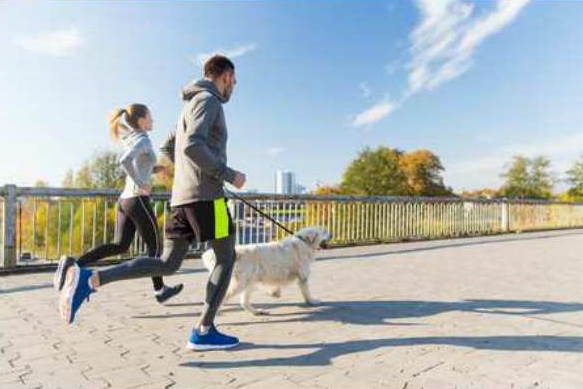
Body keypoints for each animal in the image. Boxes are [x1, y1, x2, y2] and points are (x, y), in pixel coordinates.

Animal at [202, 226, 330, 314]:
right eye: (323, 231)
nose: (331, 234)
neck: (304, 242)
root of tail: (236, 252)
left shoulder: (280, 273)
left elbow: (278, 285)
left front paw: (274, 293)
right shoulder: (303, 276)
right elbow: (307, 292)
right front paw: (312, 301)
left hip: (249, 282)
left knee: (244, 302)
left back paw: (257, 312)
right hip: (240, 284)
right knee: (223, 298)